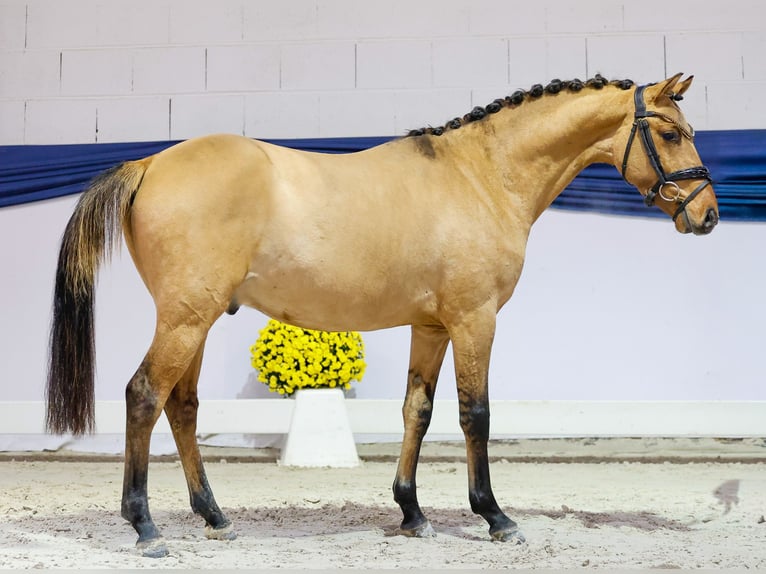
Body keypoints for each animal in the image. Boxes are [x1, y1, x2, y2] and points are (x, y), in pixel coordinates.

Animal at [45, 73, 718, 557]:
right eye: (672, 133)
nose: (707, 214)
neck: (482, 176)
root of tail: (151, 164)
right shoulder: (475, 320)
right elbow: (475, 414)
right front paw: (495, 517)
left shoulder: (432, 326)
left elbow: (416, 411)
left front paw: (412, 514)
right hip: (185, 319)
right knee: (143, 396)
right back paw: (144, 527)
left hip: (197, 320)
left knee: (181, 407)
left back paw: (214, 517)